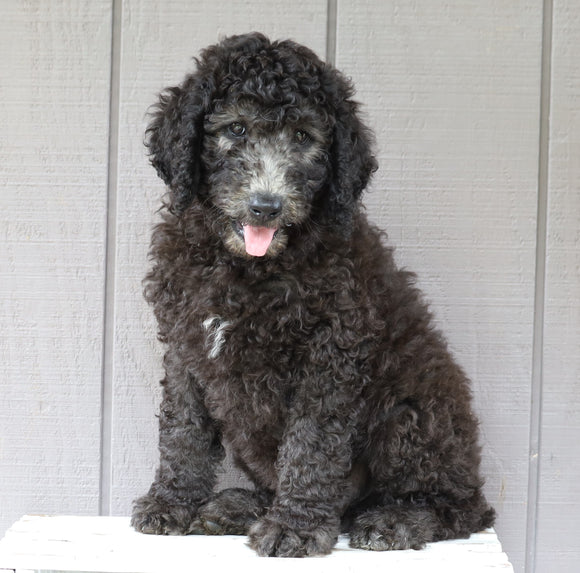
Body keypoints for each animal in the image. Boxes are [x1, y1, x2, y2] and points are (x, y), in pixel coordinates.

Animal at [131, 31, 494, 556]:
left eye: (303, 137)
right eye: (236, 129)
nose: (265, 206)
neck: (248, 266)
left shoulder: (331, 352)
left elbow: (312, 442)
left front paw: (295, 527)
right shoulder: (185, 343)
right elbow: (183, 427)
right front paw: (171, 502)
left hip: (412, 413)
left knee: (462, 507)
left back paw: (397, 521)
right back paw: (240, 507)